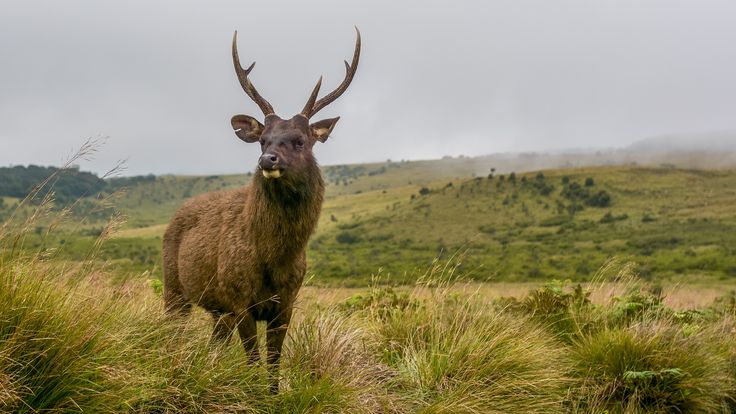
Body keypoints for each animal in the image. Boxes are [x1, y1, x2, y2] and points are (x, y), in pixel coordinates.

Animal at [162, 28, 360, 387]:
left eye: (300, 140)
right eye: (262, 139)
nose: (267, 159)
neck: (273, 257)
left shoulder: (286, 302)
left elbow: (273, 364)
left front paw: (271, 393)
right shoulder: (239, 298)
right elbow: (254, 361)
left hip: (217, 310)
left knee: (214, 344)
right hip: (174, 286)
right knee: (172, 331)